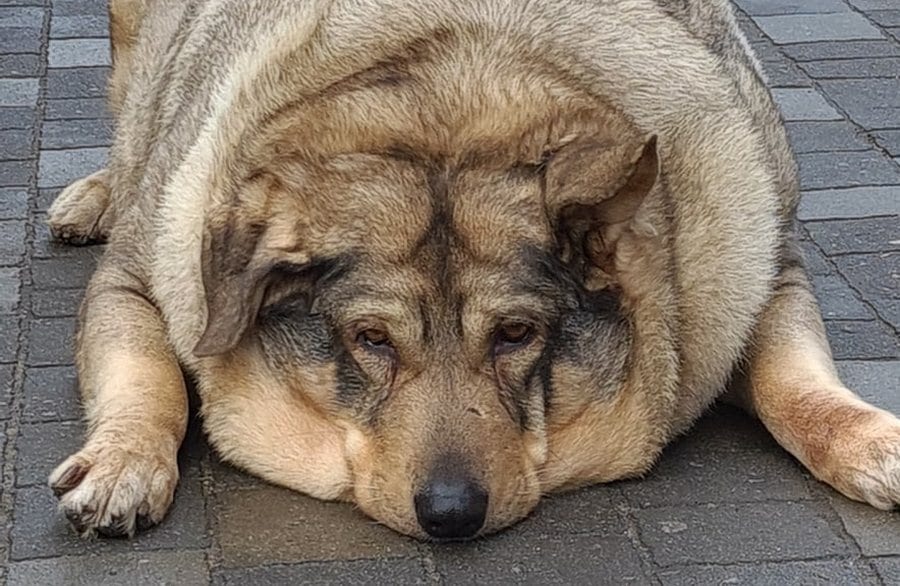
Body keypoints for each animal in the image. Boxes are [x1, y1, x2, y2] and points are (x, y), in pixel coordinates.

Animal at [47, 0, 900, 540]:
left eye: (517, 335)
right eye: (371, 340)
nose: (451, 514)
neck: (458, 78)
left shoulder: (770, 270)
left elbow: (798, 386)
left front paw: (873, 443)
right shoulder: (137, 280)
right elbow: (148, 378)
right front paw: (125, 464)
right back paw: (93, 196)